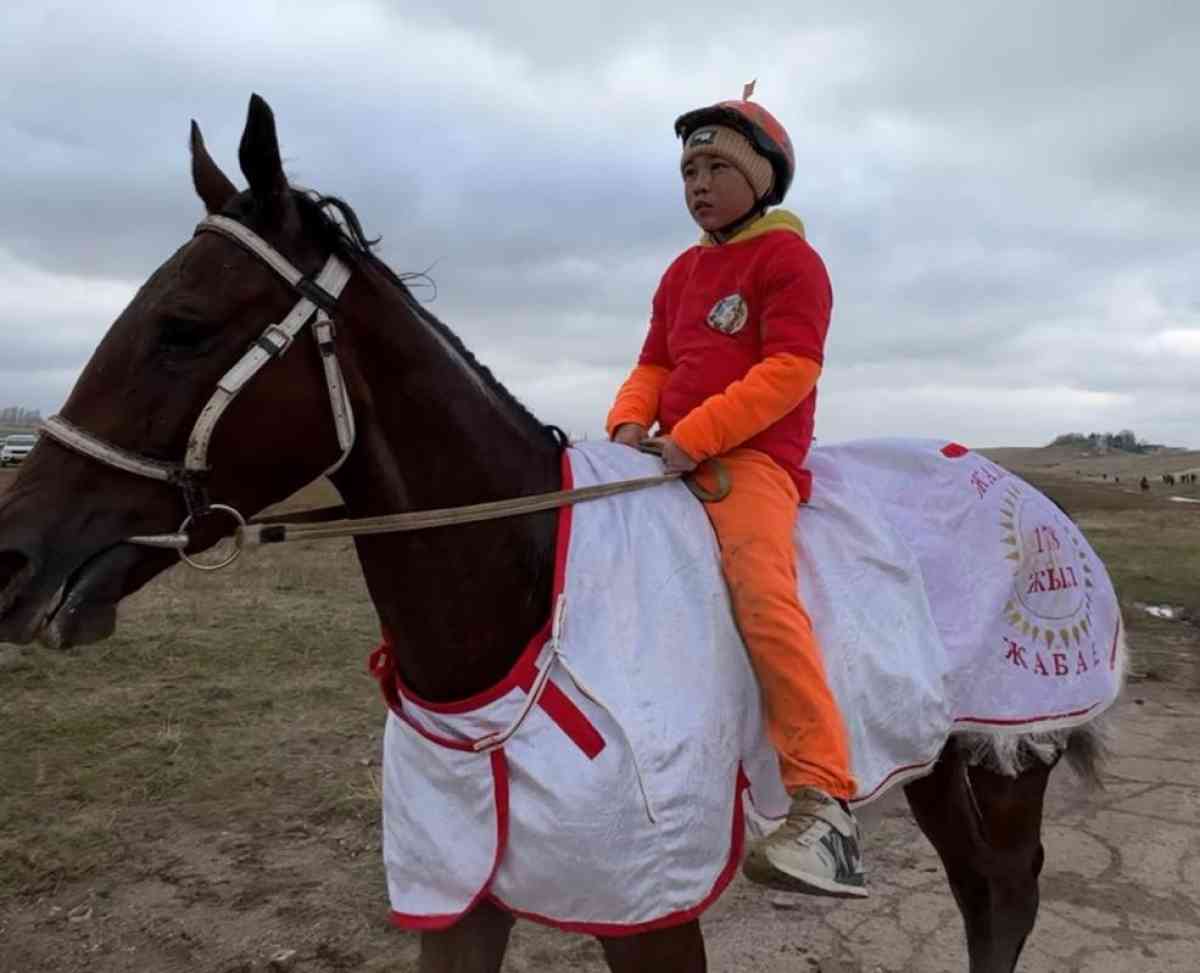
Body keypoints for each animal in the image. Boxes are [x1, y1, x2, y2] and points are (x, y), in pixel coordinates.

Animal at [0, 97, 1113, 973]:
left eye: (181, 326)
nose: (11, 556)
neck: (527, 585)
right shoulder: (464, 894)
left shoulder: (651, 909)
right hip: (943, 758)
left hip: (1008, 757)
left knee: (1004, 895)